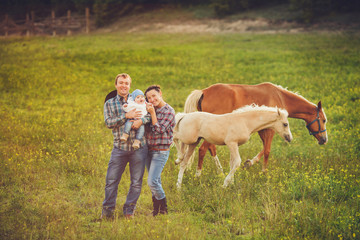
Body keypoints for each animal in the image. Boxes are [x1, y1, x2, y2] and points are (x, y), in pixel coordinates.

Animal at [184, 81, 328, 175]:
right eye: (324, 120)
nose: (324, 139)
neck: (279, 96)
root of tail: (203, 92)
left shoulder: (262, 130)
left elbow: (264, 148)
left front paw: (250, 163)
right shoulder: (270, 130)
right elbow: (267, 150)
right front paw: (264, 172)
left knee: (210, 149)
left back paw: (220, 172)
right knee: (203, 150)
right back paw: (200, 175)